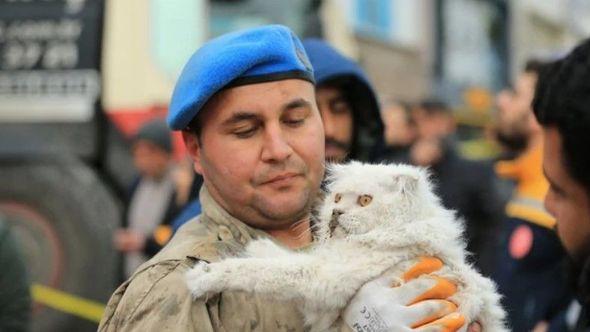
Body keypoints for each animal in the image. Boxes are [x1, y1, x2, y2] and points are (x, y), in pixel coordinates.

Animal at [186, 162, 508, 330]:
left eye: (365, 200)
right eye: (338, 198)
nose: (336, 213)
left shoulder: (323, 281)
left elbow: (258, 271)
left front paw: (204, 277)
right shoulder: (323, 269)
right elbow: (281, 257)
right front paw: (259, 245)